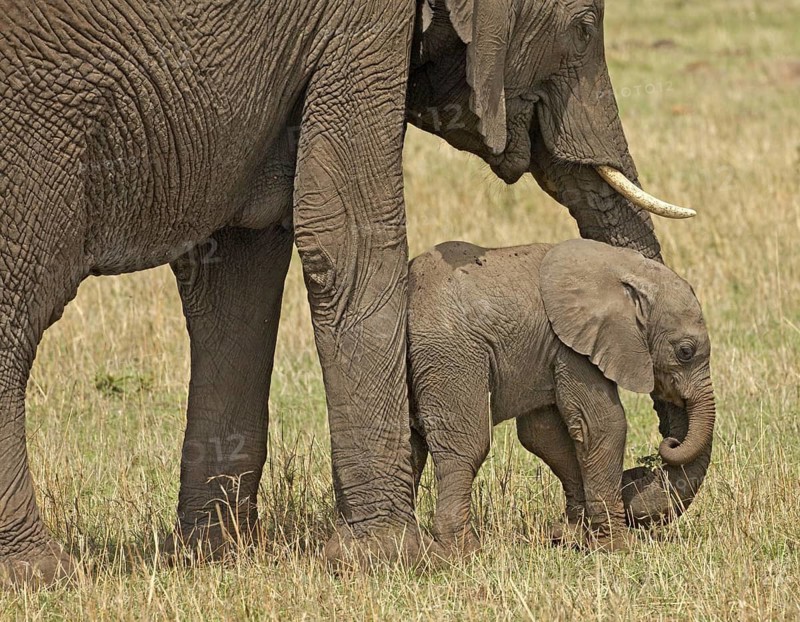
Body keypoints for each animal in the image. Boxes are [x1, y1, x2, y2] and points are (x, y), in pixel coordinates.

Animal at [407, 239, 715, 555]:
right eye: (685, 352)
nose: (670, 443)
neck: (623, 266)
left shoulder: (551, 349)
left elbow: (543, 435)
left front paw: (569, 536)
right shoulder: (574, 346)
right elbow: (604, 425)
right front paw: (619, 547)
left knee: (412, 445)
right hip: (450, 355)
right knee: (466, 445)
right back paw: (463, 551)